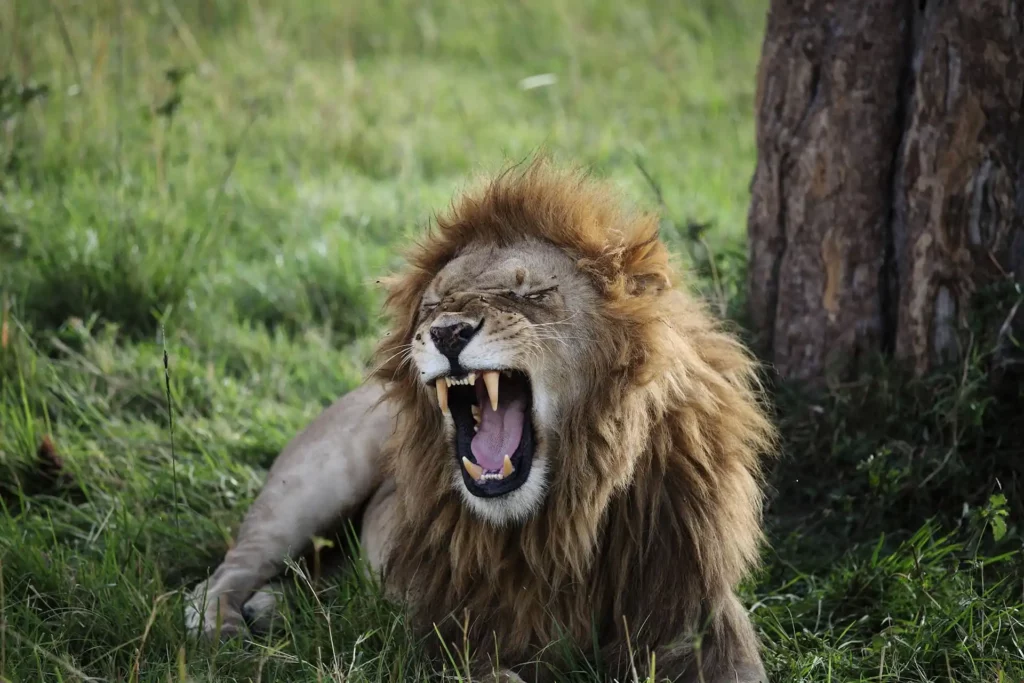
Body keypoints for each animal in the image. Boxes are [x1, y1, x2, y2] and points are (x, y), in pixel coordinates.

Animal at [185, 160, 777, 682]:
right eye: (433, 305)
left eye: (531, 293)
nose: (447, 332)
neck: (563, 517)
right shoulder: (448, 626)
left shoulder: (693, 609)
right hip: (315, 482)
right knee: (229, 567)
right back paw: (220, 626)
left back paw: (276, 608)